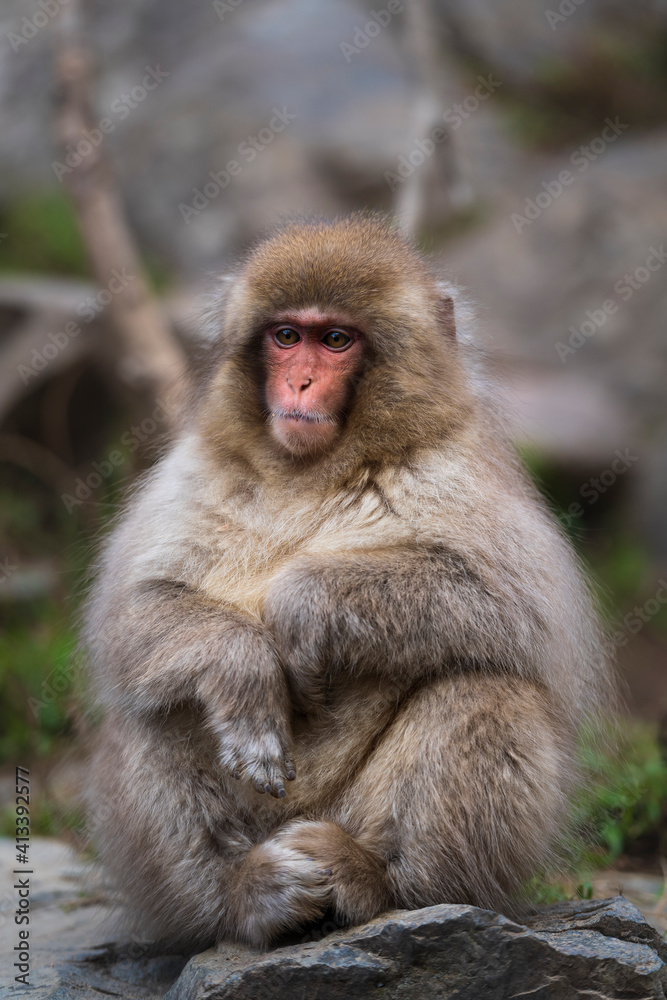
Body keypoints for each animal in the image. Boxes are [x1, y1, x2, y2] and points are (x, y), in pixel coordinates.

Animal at [83, 214, 613, 951]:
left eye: (335, 340)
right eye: (287, 336)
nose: (300, 384)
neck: (314, 469)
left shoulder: (458, 469)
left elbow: (516, 606)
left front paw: (298, 609)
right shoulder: (197, 471)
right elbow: (132, 612)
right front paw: (245, 666)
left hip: (353, 816)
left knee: (487, 690)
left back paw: (377, 880)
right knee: (148, 708)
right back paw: (246, 896)